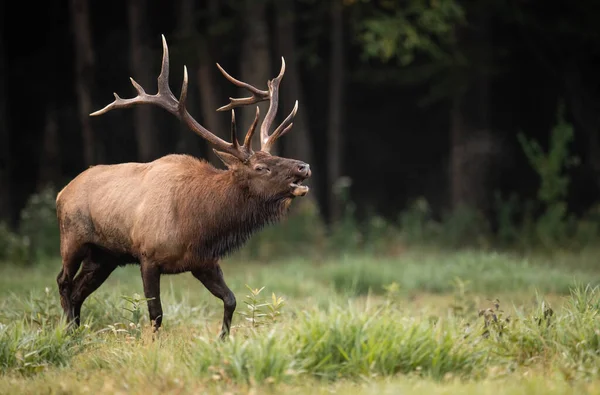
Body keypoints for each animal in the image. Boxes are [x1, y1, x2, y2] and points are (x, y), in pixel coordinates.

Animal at [54, 36, 312, 340]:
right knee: (63, 282)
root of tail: (61, 193)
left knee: (79, 291)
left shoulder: (203, 262)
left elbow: (231, 300)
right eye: (261, 167)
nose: (303, 166)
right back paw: (67, 332)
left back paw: (75, 332)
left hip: (104, 256)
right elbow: (156, 314)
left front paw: (222, 340)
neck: (199, 224)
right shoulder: (148, 256)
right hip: (73, 239)